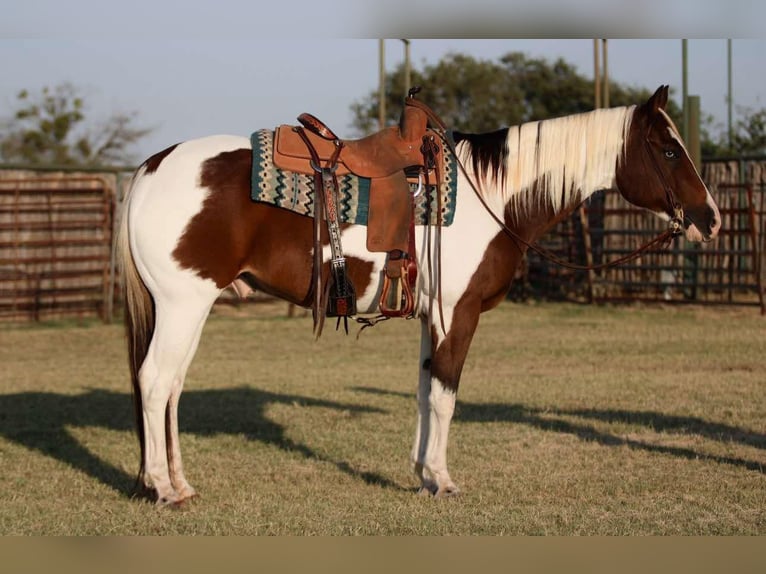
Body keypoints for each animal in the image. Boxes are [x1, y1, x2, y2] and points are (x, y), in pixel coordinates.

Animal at [119, 85, 720, 505]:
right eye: (670, 151)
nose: (711, 220)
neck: (494, 195)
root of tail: (150, 168)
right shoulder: (460, 312)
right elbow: (446, 395)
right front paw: (443, 480)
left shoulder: (433, 316)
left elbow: (424, 390)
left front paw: (421, 475)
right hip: (182, 305)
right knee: (154, 382)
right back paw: (163, 488)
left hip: (189, 309)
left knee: (171, 388)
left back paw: (179, 482)